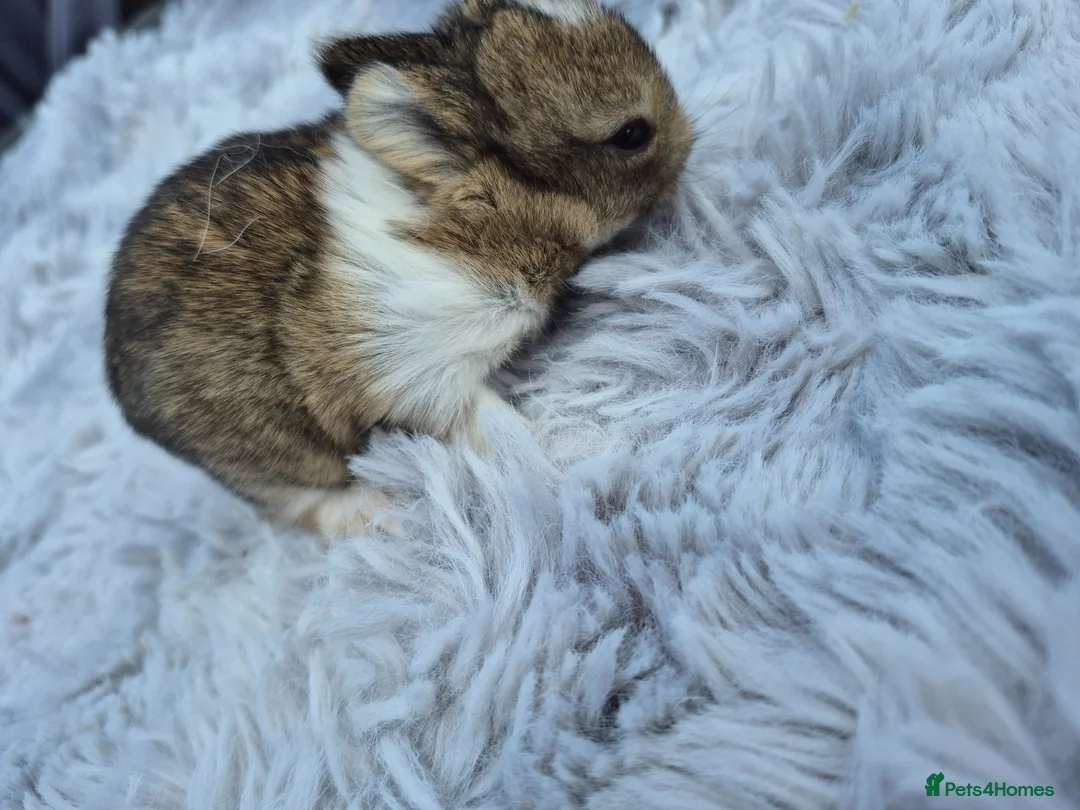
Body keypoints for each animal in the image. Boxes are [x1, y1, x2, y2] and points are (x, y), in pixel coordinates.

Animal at [104, 0, 693, 539]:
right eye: (631, 134)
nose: (689, 137)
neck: (479, 207)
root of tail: (118, 376)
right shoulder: (419, 377)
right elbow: (497, 426)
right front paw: (568, 461)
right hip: (276, 458)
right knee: (303, 502)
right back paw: (380, 517)